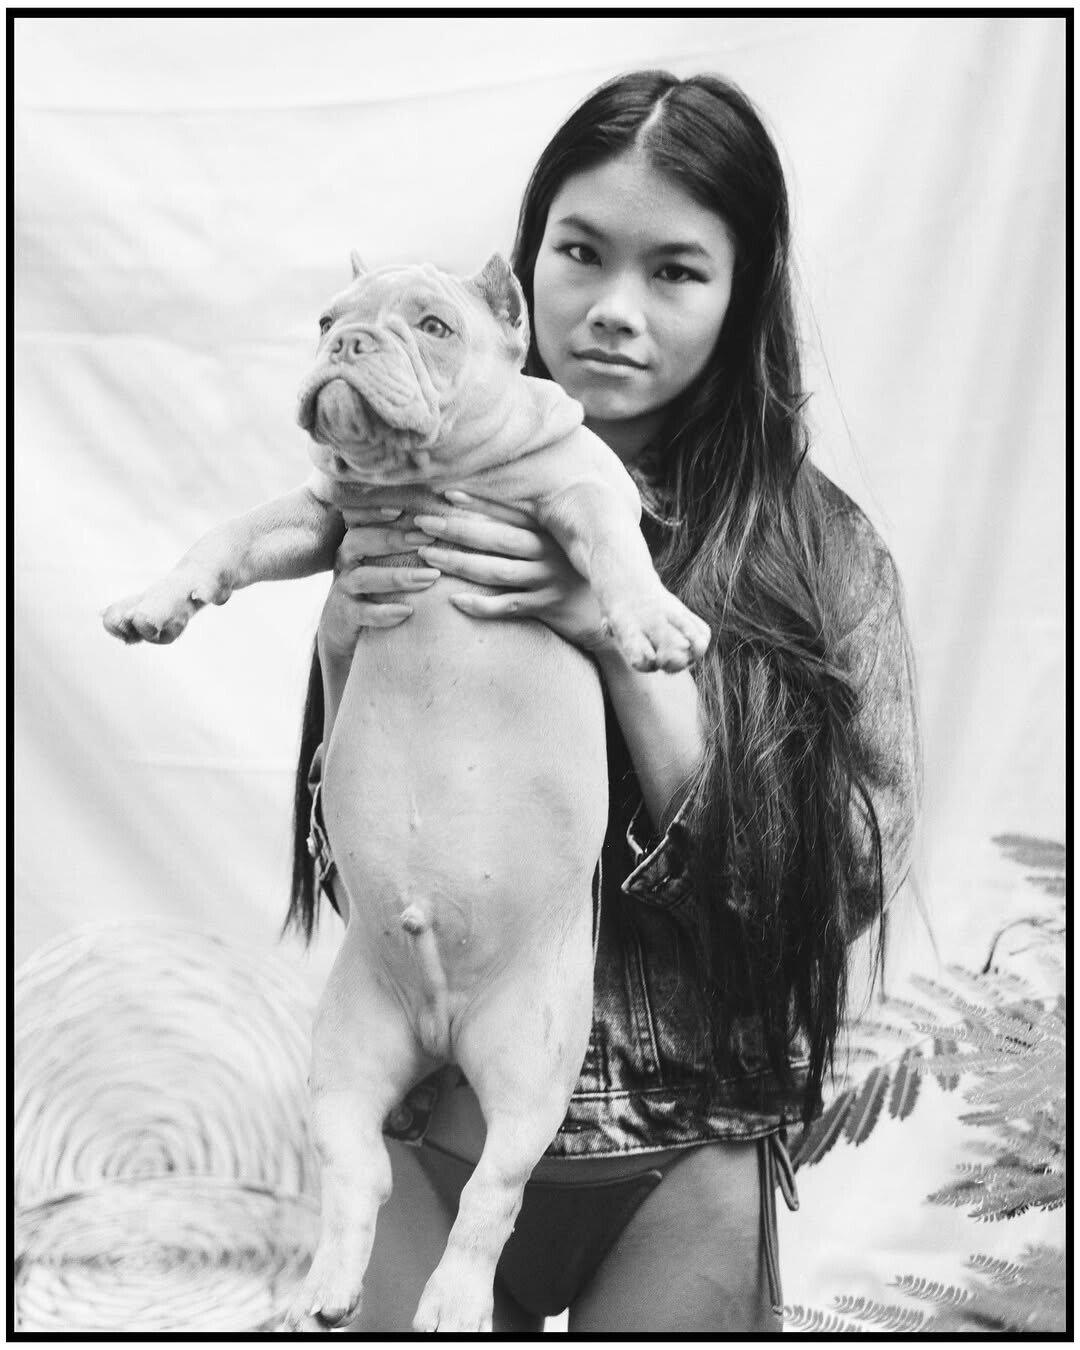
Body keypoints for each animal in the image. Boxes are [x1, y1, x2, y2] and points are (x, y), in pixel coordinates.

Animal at [102, 253, 711, 1331]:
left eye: (433, 326)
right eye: (326, 320)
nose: (348, 345)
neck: (428, 473)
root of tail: (442, 1028)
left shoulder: (582, 493)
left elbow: (614, 549)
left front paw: (653, 621)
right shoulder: (316, 515)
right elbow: (231, 531)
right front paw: (157, 599)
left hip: (533, 1068)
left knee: (493, 1193)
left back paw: (452, 1302)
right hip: (347, 1053)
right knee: (363, 1176)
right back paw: (330, 1287)